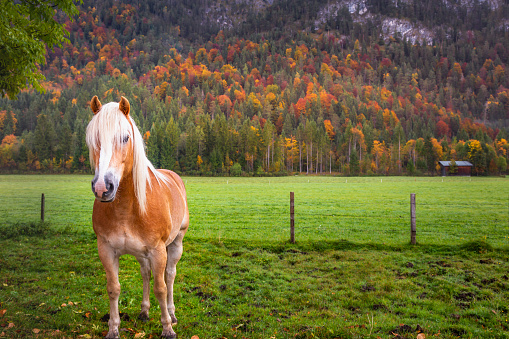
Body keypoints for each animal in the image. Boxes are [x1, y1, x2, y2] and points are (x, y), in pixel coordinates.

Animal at [85, 95, 189, 339]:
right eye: (93, 138)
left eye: (125, 137)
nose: (103, 188)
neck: (127, 209)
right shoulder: (106, 249)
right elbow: (113, 288)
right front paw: (113, 328)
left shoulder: (158, 251)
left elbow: (161, 287)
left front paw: (167, 328)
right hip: (142, 254)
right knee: (145, 274)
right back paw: (144, 311)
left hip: (175, 243)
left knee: (169, 276)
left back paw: (172, 314)